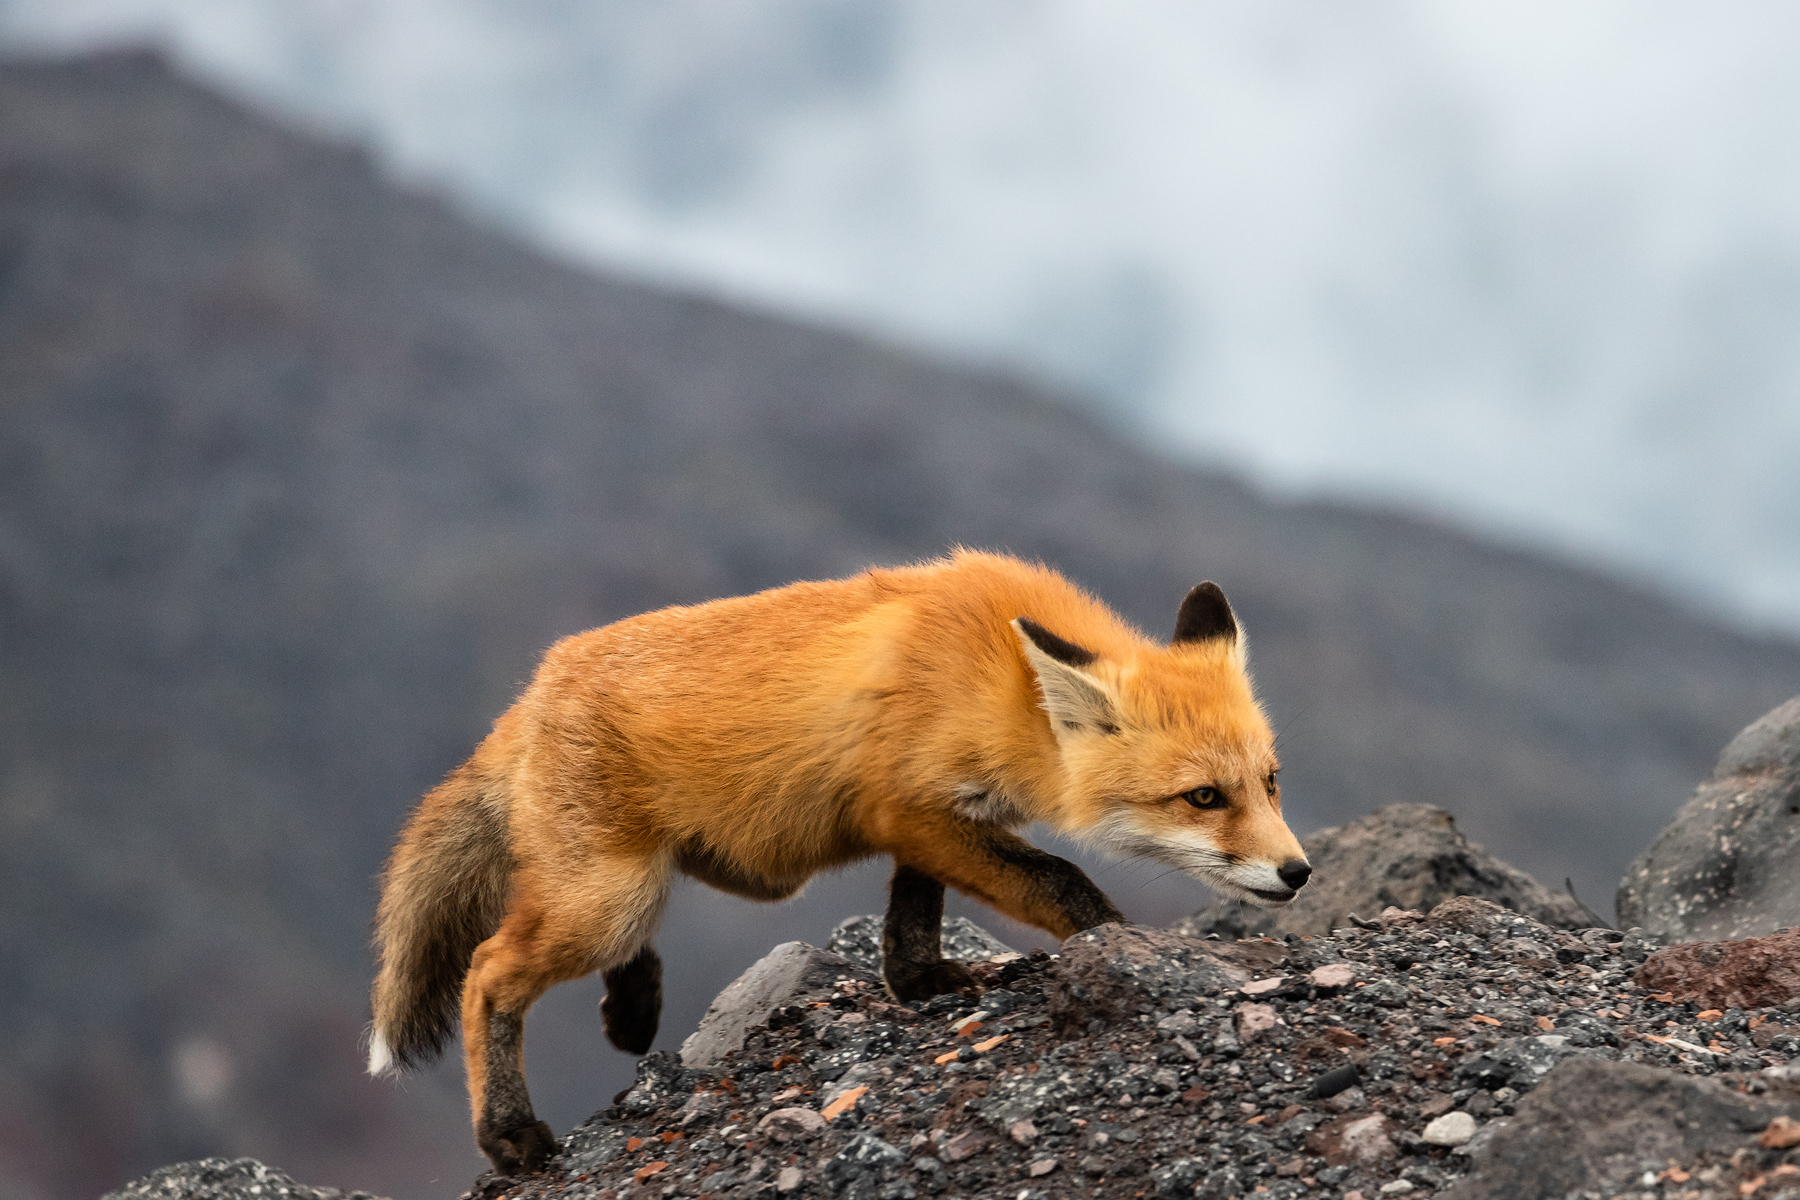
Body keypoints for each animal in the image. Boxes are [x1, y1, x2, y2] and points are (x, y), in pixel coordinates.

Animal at [365, 550, 1310, 1173]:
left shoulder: (936, 817)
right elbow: (1062, 881)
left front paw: (920, 980)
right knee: (489, 971)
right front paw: (1116, 948)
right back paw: (508, 1134)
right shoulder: (910, 806)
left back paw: (633, 1009)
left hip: (638, 880)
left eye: (1269, 782)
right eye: (1203, 798)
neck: (999, 677)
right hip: (608, 898)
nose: (1297, 872)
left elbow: (914, 908)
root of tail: (532, 693)